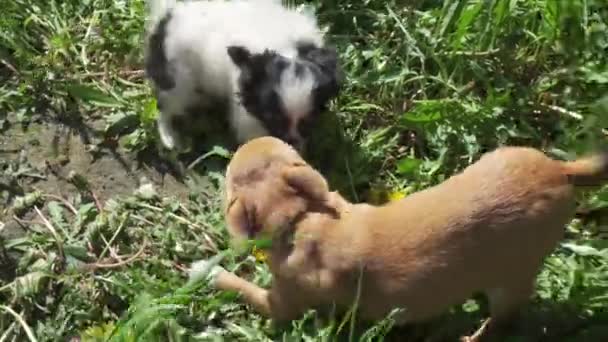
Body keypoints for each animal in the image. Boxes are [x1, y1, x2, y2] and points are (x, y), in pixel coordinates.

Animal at [144, 0, 342, 152]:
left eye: (309, 122)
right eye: (272, 119)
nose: (291, 141)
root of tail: (166, 18)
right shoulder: (247, 115)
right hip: (180, 82)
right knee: (165, 107)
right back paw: (169, 138)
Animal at [207, 136, 604, 340]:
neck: (302, 218)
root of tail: (561, 171)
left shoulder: (282, 304)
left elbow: (246, 289)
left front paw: (213, 274)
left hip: (510, 279)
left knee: (503, 318)